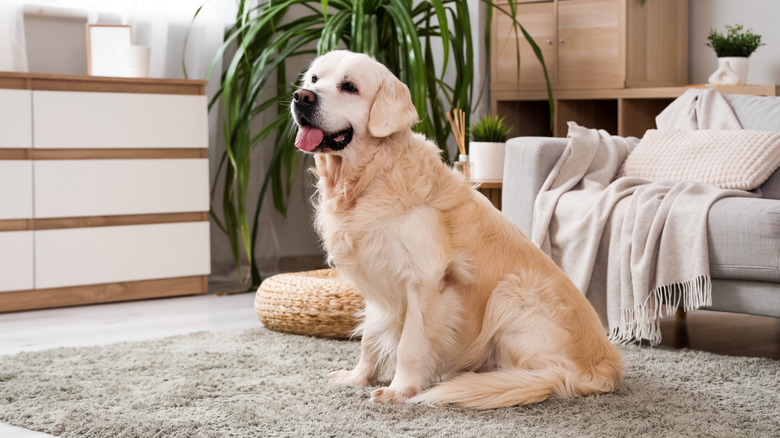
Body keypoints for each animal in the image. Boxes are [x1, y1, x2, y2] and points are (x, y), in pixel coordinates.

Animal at [290, 51, 624, 410]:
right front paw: (357, 377)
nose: (301, 97)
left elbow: (410, 344)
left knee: (547, 374)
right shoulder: (378, 283)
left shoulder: (426, 281)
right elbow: (370, 337)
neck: (371, 178)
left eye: (349, 86)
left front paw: (400, 390)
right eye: (314, 79)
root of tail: (607, 366)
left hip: (510, 294)